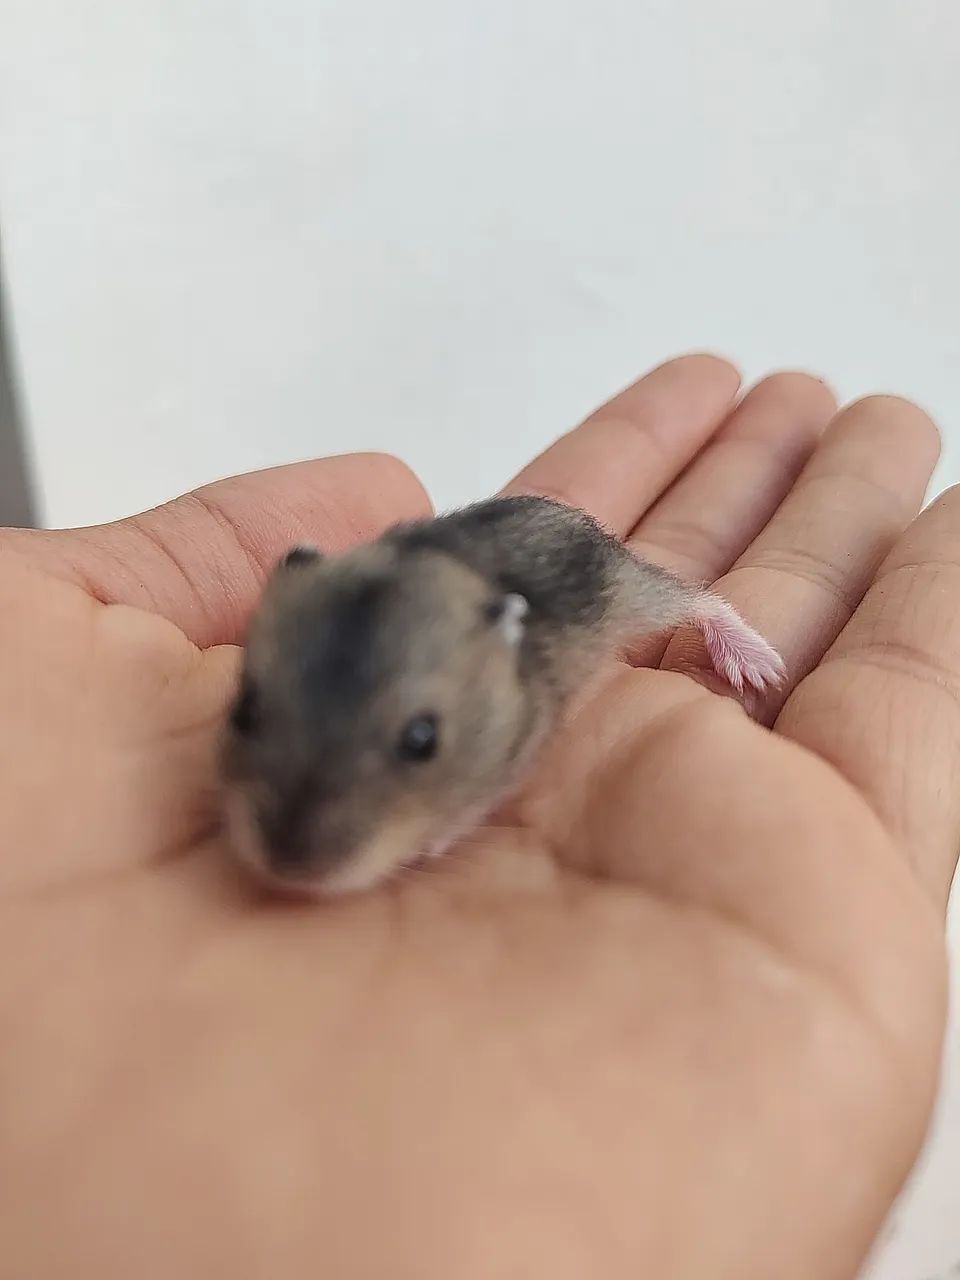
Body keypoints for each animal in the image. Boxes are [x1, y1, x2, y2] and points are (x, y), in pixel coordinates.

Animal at [221, 495, 784, 896]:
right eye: (244, 710)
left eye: (422, 740)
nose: (287, 869)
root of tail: (581, 520)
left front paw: (431, 846)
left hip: (630, 594)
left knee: (698, 599)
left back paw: (758, 666)